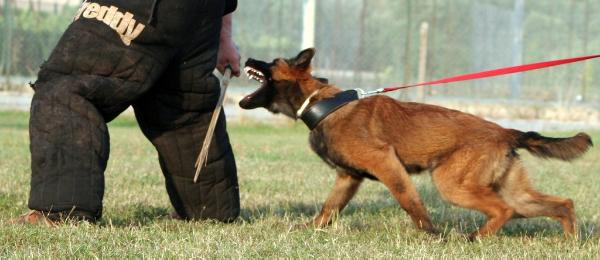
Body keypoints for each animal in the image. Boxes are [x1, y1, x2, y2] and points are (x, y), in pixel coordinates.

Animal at [237, 48, 592, 240]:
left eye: (272, 61)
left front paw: (431, 234)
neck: (321, 103)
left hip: (452, 184)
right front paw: (310, 228)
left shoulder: (386, 164)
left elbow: (410, 202)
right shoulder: (348, 178)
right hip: (512, 190)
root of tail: (506, 131)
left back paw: (473, 238)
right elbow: (328, 208)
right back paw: (569, 242)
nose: (246, 57)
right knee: (561, 204)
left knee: (503, 210)